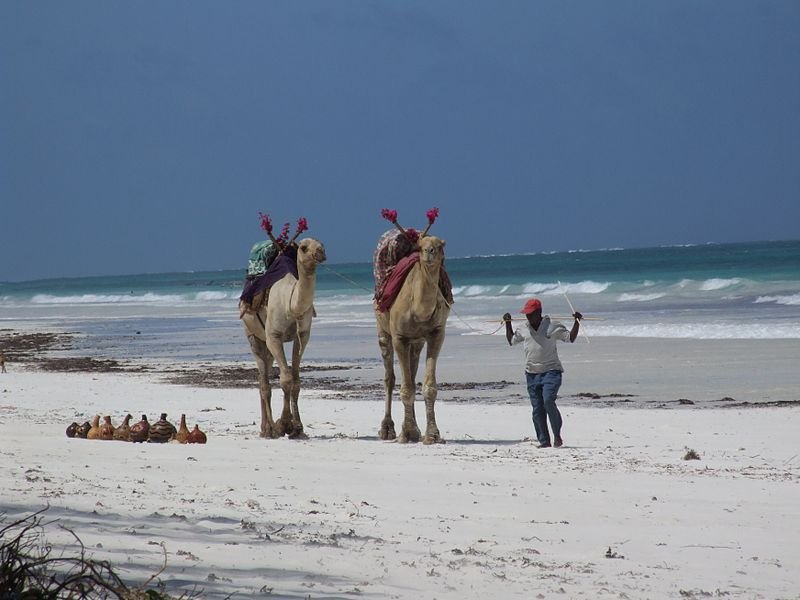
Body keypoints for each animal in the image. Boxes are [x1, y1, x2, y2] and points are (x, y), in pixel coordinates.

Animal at [239, 218, 326, 438]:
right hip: (253, 335)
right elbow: (285, 379)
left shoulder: (302, 336)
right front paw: (283, 425)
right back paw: (267, 429)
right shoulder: (274, 336)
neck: (290, 302)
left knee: (267, 373)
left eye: (321, 243)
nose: (321, 252)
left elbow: (295, 380)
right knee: (264, 381)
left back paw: (266, 427)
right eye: (303, 247)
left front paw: (298, 428)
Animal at [374, 209, 450, 442]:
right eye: (420, 245)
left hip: (416, 342)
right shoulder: (399, 336)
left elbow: (428, 386)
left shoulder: (436, 334)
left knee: (412, 371)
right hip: (383, 332)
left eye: (440, 245)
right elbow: (405, 388)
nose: (428, 252)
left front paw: (431, 434)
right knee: (390, 378)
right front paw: (406, 434)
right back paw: (387, 429)